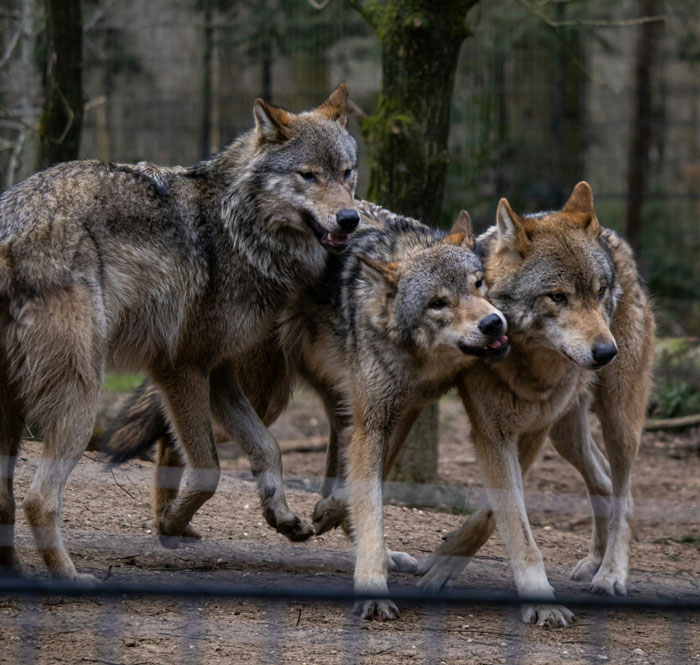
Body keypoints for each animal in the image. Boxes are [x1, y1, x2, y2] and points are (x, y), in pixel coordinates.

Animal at [0, 84, 361, 581]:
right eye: (308, 175)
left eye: (347, 173)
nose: (350, 219)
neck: (239, 229)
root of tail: (9, 231)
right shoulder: (181, 367)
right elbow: (208, 470)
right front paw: (170, 524)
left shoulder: (220, 372)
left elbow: (268, 449)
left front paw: (281, 516)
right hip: (82, 398)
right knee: (39, 499)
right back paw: (69, 577)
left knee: (6, 500)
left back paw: (14, 572)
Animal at [101, 202, 509, 620]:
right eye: (438, 303)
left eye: (478, 284)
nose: (493, 323)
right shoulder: (372, 420)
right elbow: (368, 504)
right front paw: (373, 588)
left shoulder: (400, 413)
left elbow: (359, 495)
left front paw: (336, 521)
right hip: (265, 397)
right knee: (174, 439)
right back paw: (170, 521)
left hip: (330, 406)